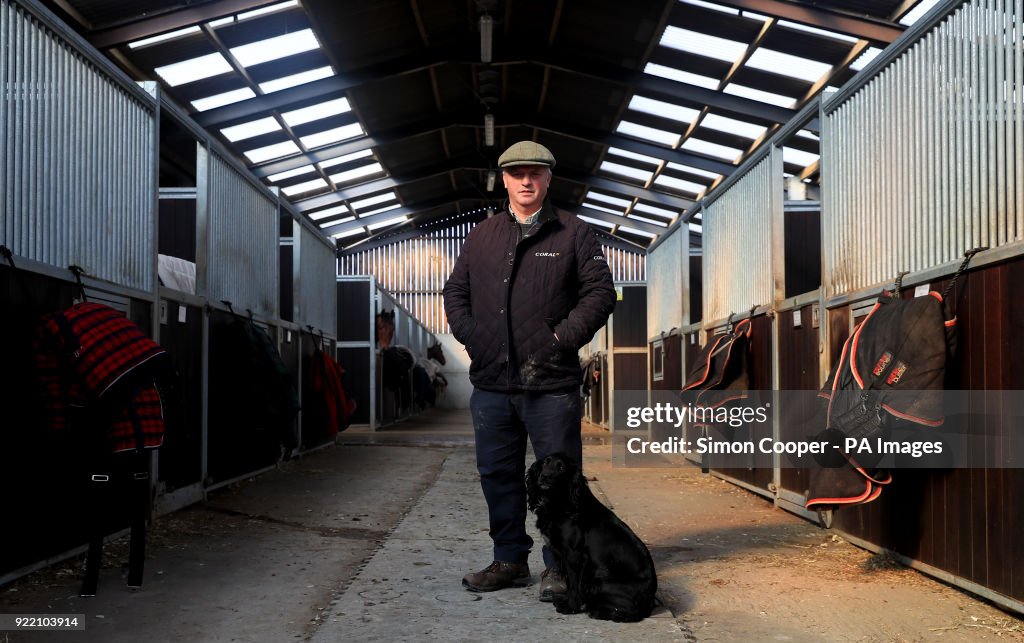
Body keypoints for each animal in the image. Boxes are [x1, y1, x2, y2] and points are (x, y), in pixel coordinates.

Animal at [524, 452, 659, 622]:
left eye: (561, 468)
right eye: (544, 463)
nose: (545, 476)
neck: (561, 502)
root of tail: (650, 598)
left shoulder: (574, 556)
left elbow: (574, 583)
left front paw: (571, 607)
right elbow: (568, 581)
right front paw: (565, 600)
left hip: (600, 581)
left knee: (632, 613)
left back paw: (598, 611)